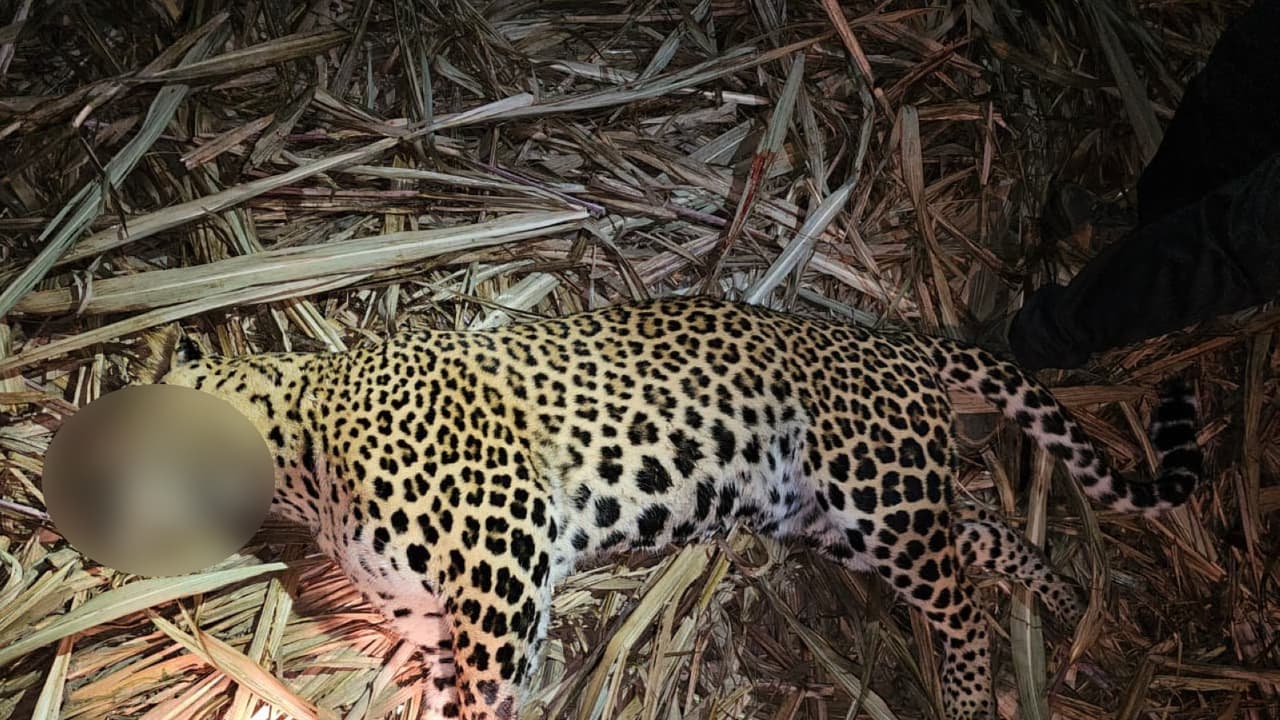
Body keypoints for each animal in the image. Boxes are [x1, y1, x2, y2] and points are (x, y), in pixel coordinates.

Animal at [142, 295, 1202, 720]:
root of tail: (896, 340)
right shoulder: (430, 614)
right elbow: (443, 689)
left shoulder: (505, 554)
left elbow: (489, 693)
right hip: (847, 521)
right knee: (982, 534)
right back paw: (1065, 603)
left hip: (877, 491)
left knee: (965, 606)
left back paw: (979, 694)